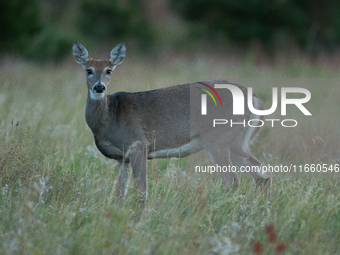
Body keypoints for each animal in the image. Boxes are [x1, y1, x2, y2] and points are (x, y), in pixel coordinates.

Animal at [71, 42, 270, 203]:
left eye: (109, 70)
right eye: (88, 70)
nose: (99, 87)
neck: (110, 117)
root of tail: (255, 98)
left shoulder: (139, 144)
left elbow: (141, 190)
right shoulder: (122, 157)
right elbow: (120, 191)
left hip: (217, 138)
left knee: (231, 179)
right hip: (236, 141)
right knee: (262, 173)